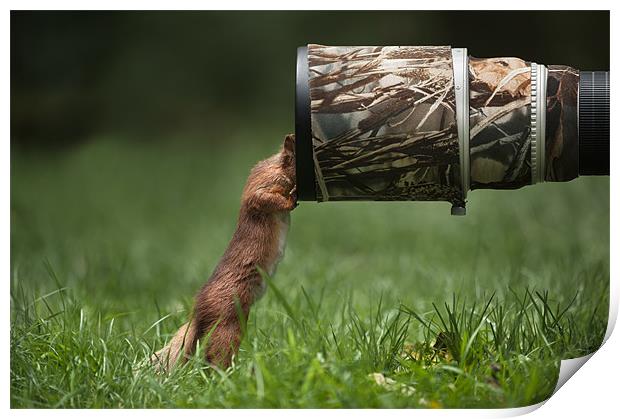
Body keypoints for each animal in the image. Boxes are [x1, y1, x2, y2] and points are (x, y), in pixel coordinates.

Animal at [152, 134, 298, 370]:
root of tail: (198, 311)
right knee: (216, 354)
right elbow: (264, 198)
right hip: (228, 322)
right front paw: (292, 198)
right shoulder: (263, 185)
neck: (278, 166)